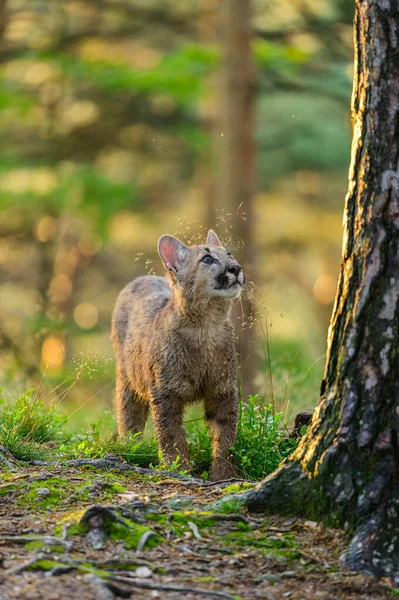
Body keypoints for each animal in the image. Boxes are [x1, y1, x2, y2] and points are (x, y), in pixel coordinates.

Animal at [111, 227, 245, 480]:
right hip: (127, 376)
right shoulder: (165, 392)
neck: (207, 325)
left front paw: (223, 473)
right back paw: (131, 446)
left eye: (229, 254)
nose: (236, 268)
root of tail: (142, 277)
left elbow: (226, 434)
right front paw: (177, 468)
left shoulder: (223, 389)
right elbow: (171, 434)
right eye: (207, 259)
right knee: (128, 414)